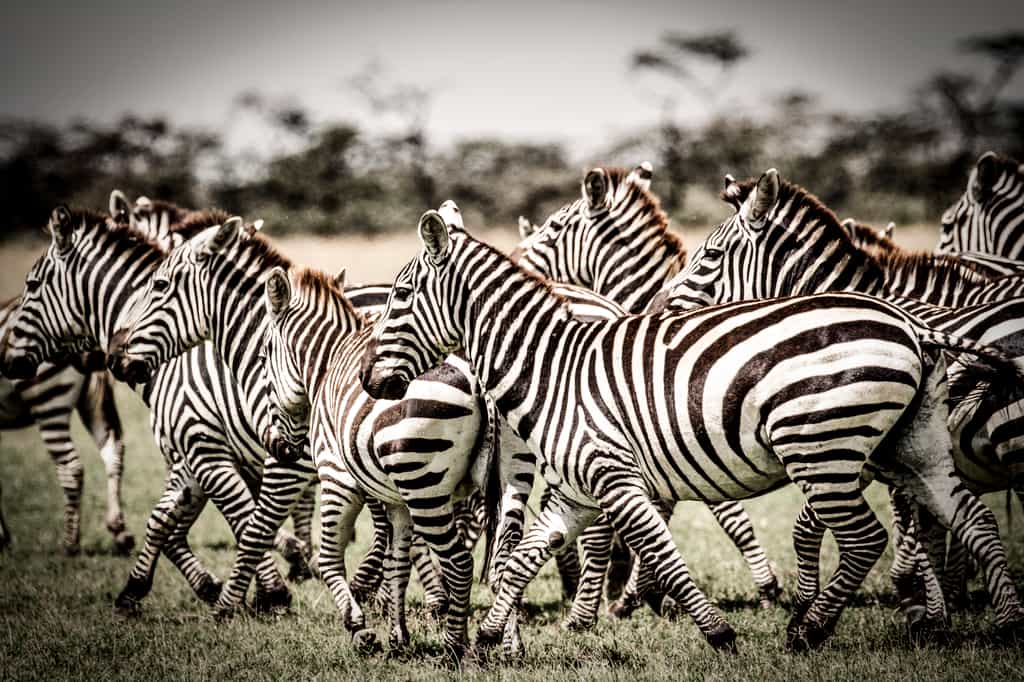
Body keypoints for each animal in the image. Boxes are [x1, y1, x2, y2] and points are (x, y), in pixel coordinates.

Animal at [0, 297, 132, 555]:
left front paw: (1, 538)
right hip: (92, 396)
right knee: (113, 450)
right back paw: (119, 530)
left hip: (48, 399)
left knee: (71, 467)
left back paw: (70, 543)